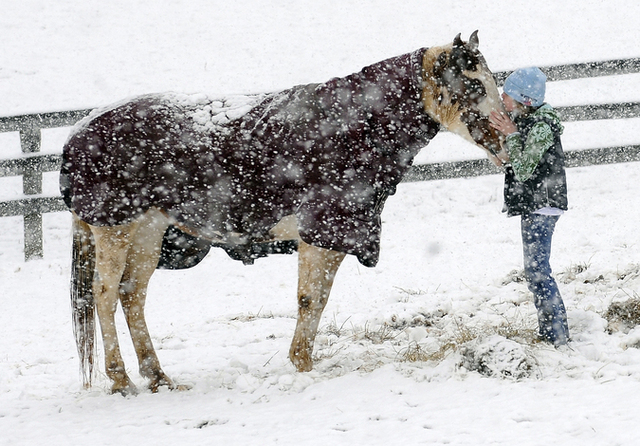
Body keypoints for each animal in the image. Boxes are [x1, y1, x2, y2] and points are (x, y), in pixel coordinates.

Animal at [61, 31, 507, 395]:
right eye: (472, 80)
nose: (509, 131)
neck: (349, 125)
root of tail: (79, 132)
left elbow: (317, 299)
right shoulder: (323, 233)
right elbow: (311, 299)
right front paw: (303, 366)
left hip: (148, 232)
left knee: (131, 295)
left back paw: (158, 378)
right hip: (115, 228)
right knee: (104, 295)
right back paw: (120, 380)